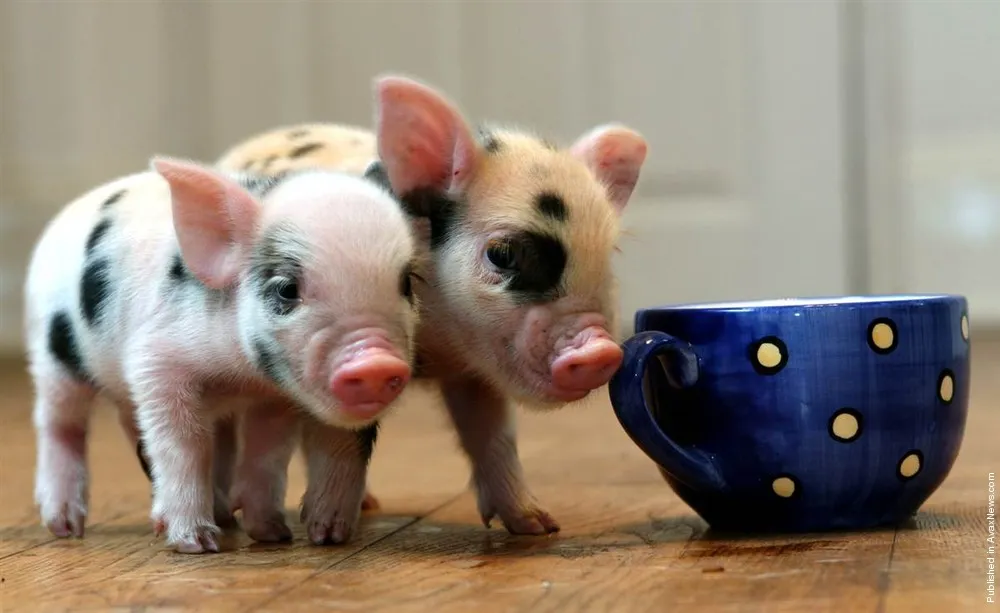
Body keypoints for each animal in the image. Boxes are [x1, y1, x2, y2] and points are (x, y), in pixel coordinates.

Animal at [23, 156, 421, 552]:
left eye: (406, 284)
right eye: (287, 289)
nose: (376, 362)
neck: (241, 375)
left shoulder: (274, 397)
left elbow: (268, 450)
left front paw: (273, 534)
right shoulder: (155, 361)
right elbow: (185, 444)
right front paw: (196, 544)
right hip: (53, 359)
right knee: (59, 423)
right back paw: (65, 527)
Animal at [213, 74, 648, 536]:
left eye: (609, 256)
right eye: (503, 253)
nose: (601, 351)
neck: (438, 345)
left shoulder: (473, 374)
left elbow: (492, 437)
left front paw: (539, 526)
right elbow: (347, 436)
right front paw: (328, 533)